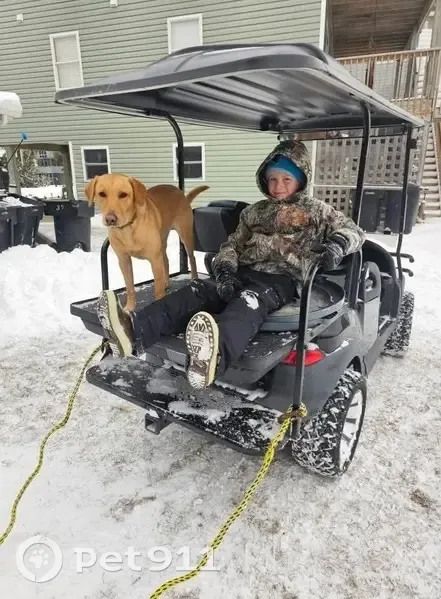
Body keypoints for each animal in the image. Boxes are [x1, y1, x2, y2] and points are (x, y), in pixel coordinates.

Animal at [85, 173, 209, 311]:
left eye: (123, 194)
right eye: (102, 194)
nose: (110, 219)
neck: (128, 228)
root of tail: (180, 192)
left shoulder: (154, 259)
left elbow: (158, 290)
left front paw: (160, 305)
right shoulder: (124, 260)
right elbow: (130, 287)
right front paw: (130, 308)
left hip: (185, 236)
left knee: (192, 258)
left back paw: (194, 279)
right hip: (162, 241)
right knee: (166, 261)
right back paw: (166, 283)